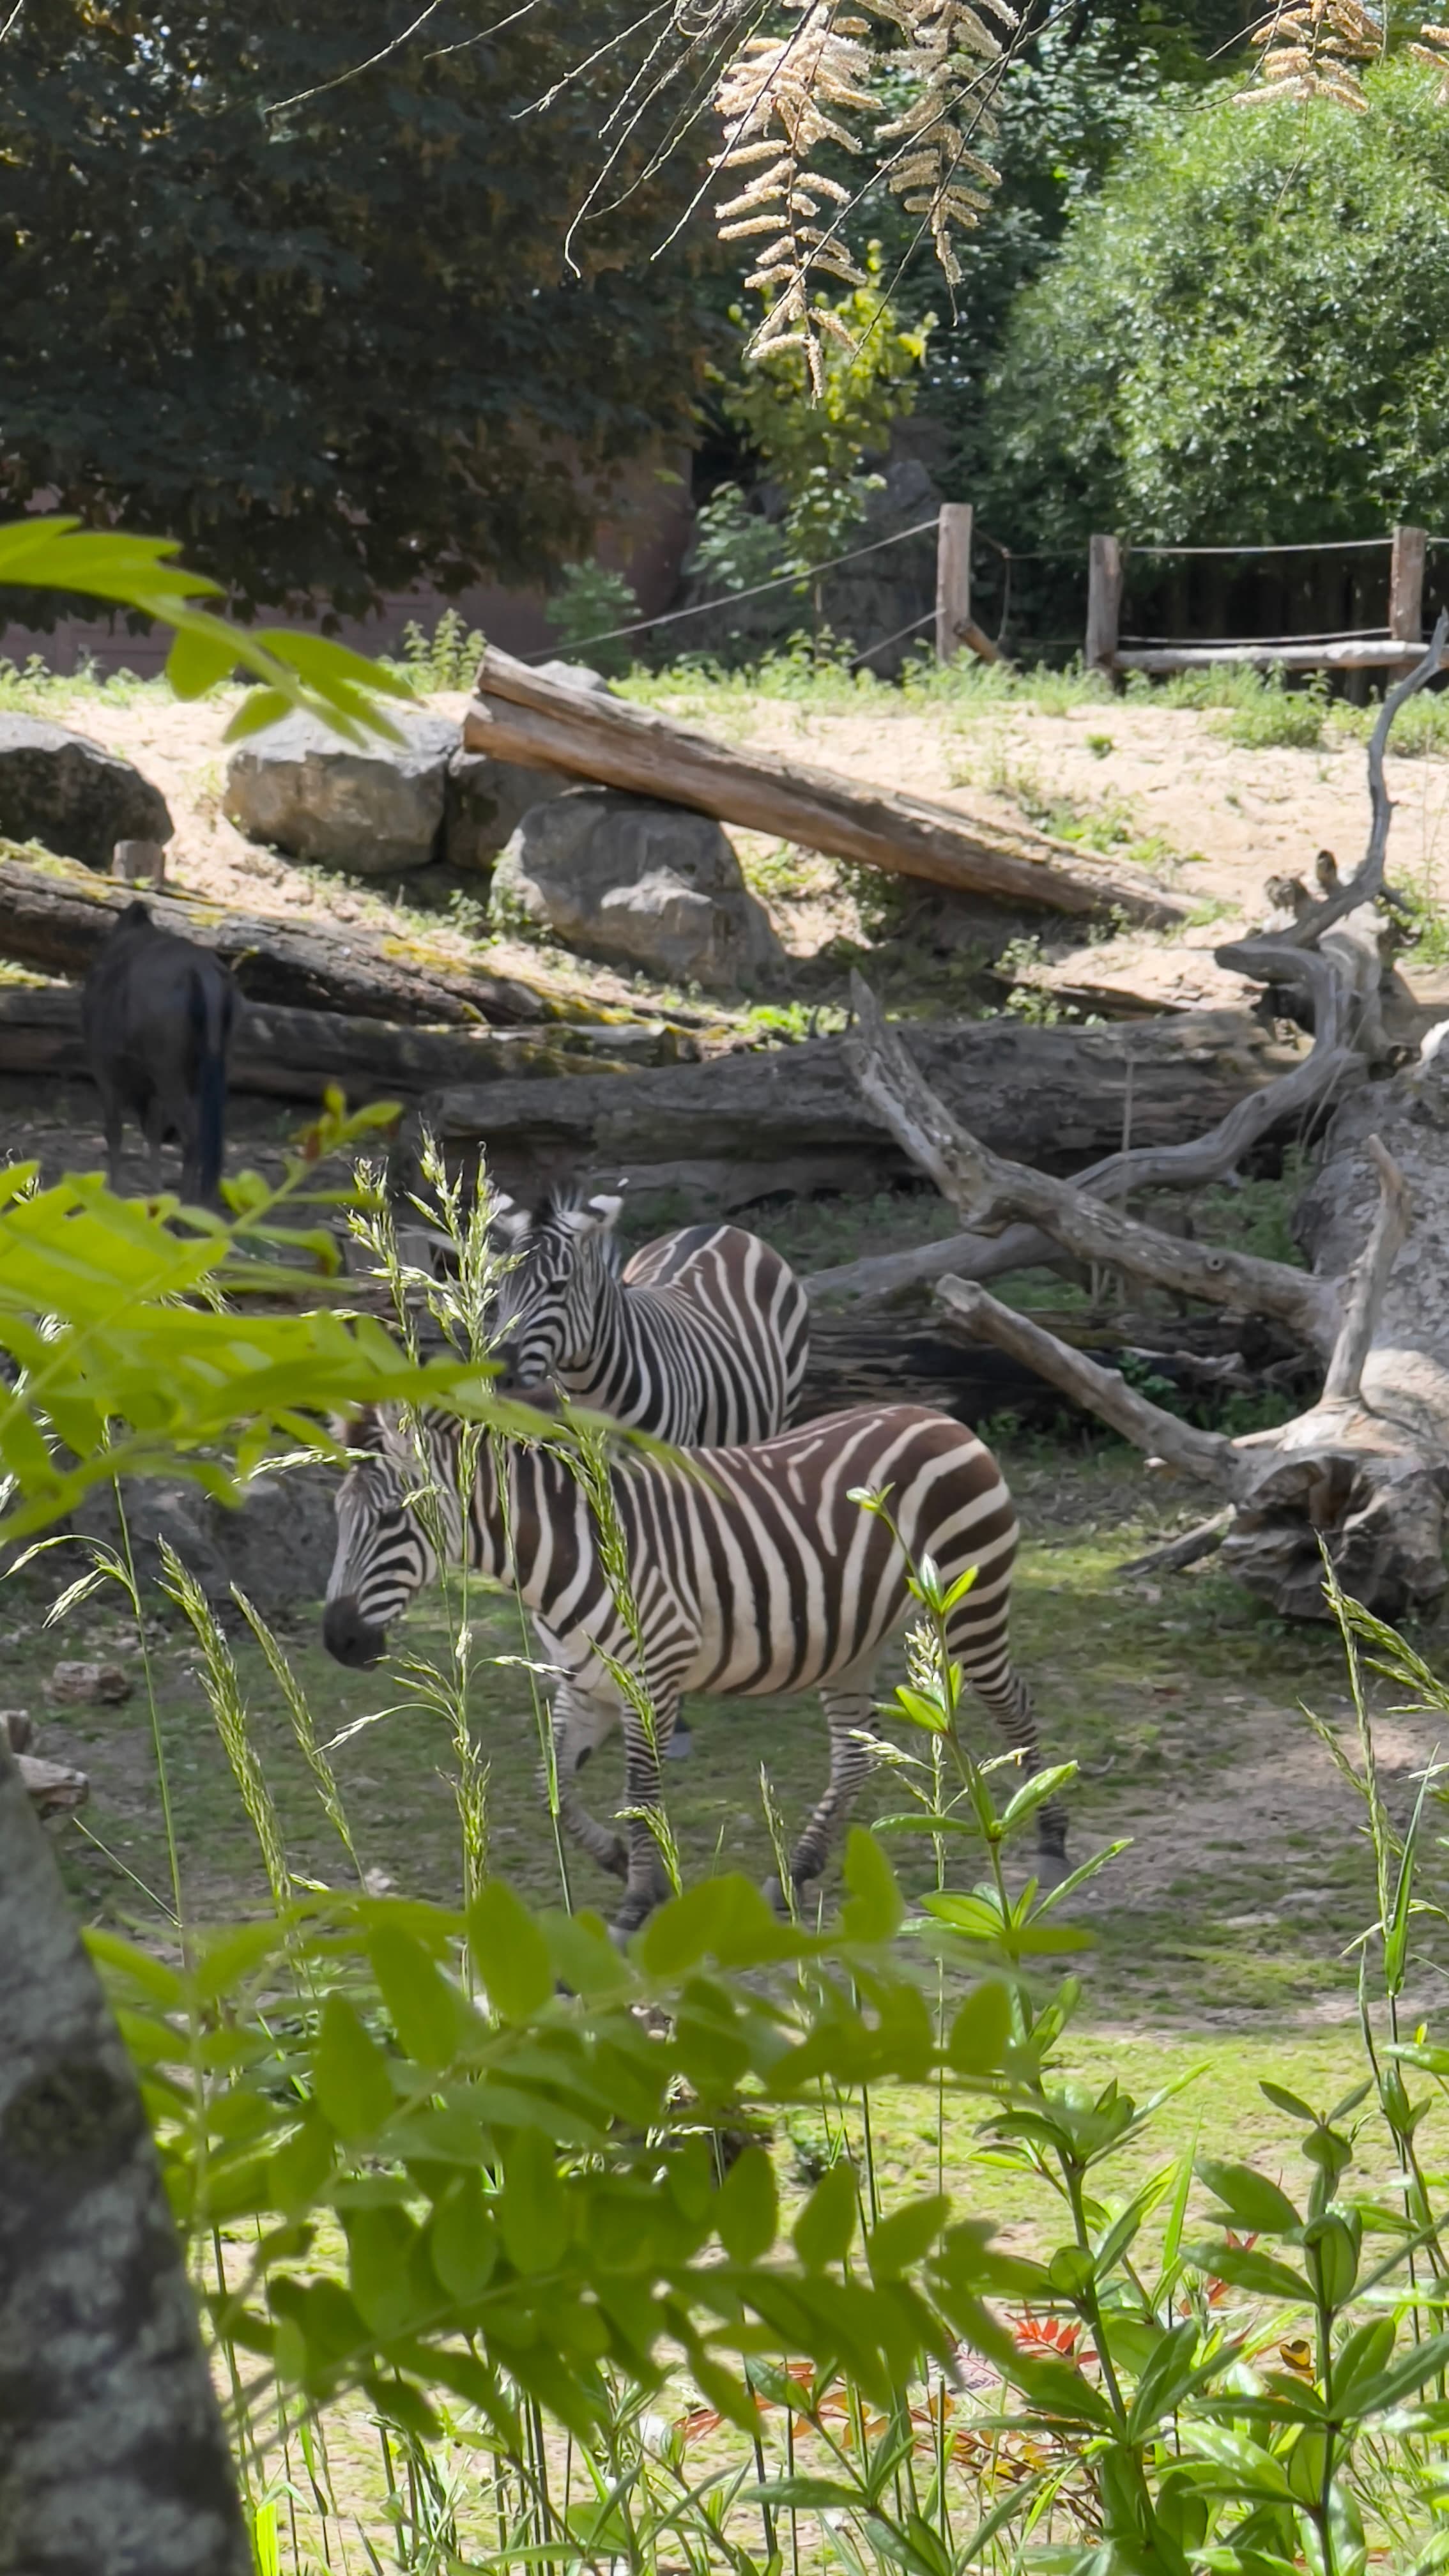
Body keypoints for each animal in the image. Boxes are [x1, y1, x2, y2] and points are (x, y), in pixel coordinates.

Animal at [322, 1401, 1063, 1933]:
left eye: (391, 1520)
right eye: (339, 1517)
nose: (339, 1643)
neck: (564, 1552)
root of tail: (942, 1420)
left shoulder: (650, 1680)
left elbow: (640, 1798)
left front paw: (634, 1905)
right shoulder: (582, 1685)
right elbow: (552, 1789)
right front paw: (621, 1864)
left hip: (968, 1610)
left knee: (1017, 1707)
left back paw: (1052, 1843)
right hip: (851, 1642)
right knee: (855, 1755)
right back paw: (795, 1875)